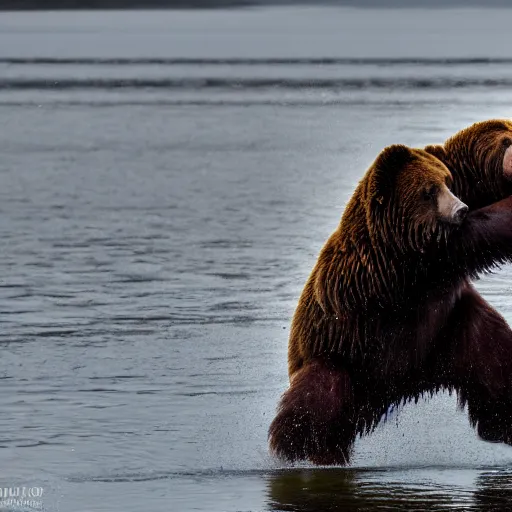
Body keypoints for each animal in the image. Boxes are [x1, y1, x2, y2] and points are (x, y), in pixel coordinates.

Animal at [272, 142, 512, 466]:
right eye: (429, 190)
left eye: (447, 181)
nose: (460, 209)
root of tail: (390, 394)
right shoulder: (406, 265)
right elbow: (480, 230)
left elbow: (470, 166)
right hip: (343, 358)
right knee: (317, 397)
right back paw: (299, 450)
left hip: (447, 336)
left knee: (493, 356)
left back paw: (502, 423)